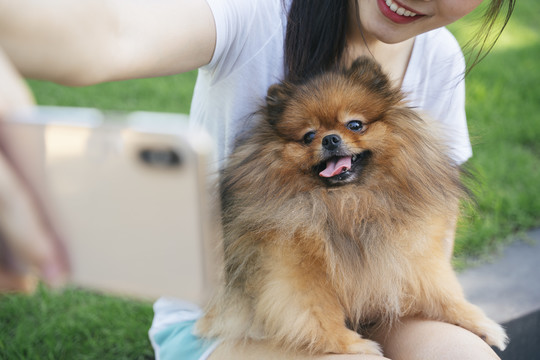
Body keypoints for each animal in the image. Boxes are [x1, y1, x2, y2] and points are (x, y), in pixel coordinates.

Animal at [197, 56, 506, 354]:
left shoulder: (410, 256)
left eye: (354, 125)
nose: (330, 138)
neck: (347, 202)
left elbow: (443, 292)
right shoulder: (295, 271)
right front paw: (352, 344)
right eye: (308, 136)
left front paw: (480, 322)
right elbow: (317, 315)